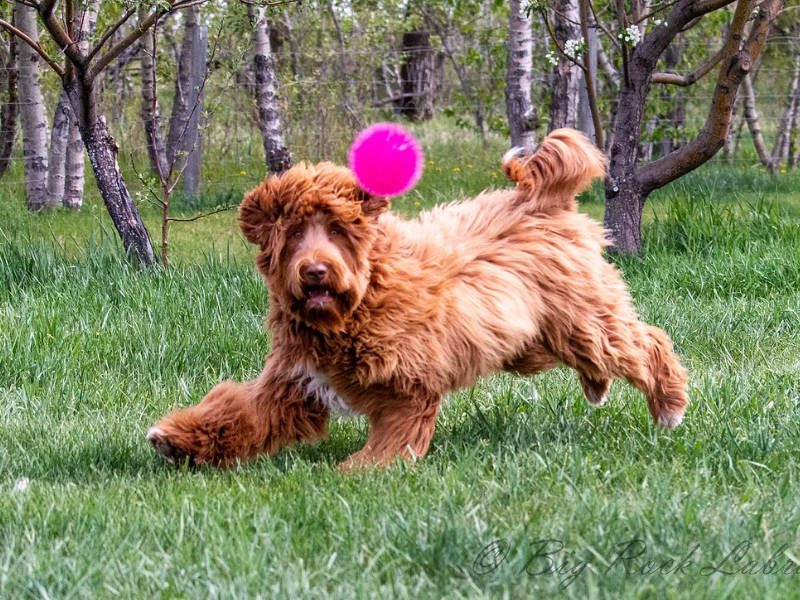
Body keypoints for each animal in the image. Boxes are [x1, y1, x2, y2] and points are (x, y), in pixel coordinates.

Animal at [148, 130, 688, 468]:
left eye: (338, 231)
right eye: (296, 232)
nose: (316, 270)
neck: (358, 302)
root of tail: (542, 198)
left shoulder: (408, 383)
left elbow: (397, 433)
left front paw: (362, 469)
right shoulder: (295, 384)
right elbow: (242, 413)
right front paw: (176, 441)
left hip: (582, 319)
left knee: (646, 342)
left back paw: (669, 408)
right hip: (534, 338)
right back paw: (599, 387)